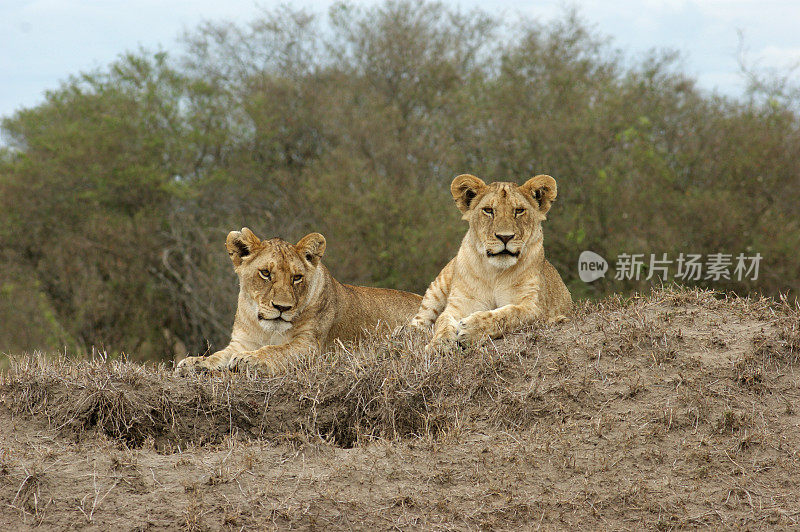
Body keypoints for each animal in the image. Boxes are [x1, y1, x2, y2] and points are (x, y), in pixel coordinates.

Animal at [176, 229, 422, 374]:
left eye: (296, 277)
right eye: (265, 273)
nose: (282, 308)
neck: (267, 329)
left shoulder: (310, 346)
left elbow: (276, 350)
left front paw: (250, 359)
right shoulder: (241, 341)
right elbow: (218, 355)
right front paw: (194, 363)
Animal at [410, 175, 572, 350]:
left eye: (519, 210)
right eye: (488, 210)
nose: (505, 237)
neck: (495, 273)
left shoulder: (535, 307)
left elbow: (509, 314)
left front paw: (472, 328)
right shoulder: (459, 305)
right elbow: (443, 321)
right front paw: (439, 344)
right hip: (437, 287)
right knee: (419, 321)